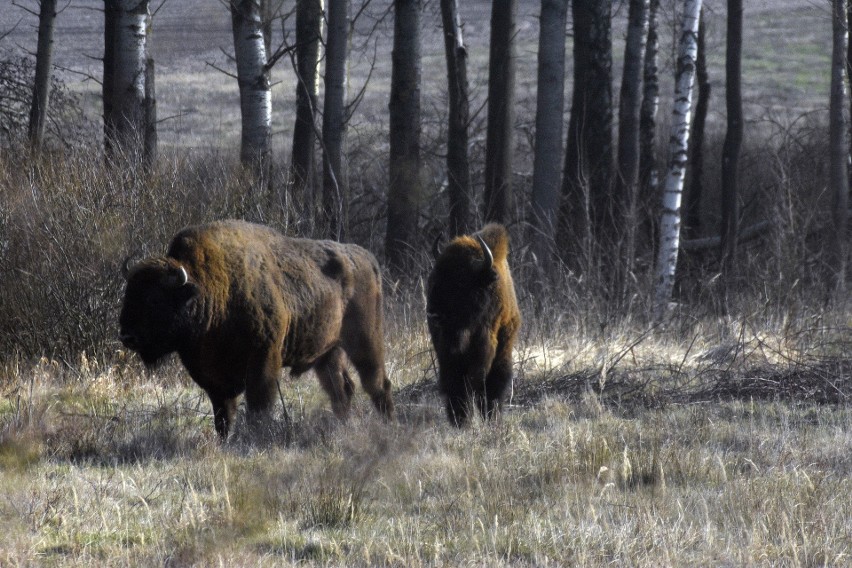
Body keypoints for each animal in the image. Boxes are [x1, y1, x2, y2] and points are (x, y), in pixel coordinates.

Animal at [119, 219, 396, 440]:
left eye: (154, 299)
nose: (126, 336)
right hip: (328, 353)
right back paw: (344, 426)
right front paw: (224, 441)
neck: (210, 288)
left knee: (377, 384)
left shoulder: (263, 362)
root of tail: (367, 258)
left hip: (365, 342)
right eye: (129, 293)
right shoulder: (213, 379)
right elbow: (223, 414)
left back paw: (387, 425)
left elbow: (257, 407)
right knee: (342, 389)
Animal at [424, 223, 520, 426]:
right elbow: (456, 384)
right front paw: (461, 420)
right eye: (434, 276)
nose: (432, 313)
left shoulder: (491, 349)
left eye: (460, 281)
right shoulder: (447, 353)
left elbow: (484, 384)